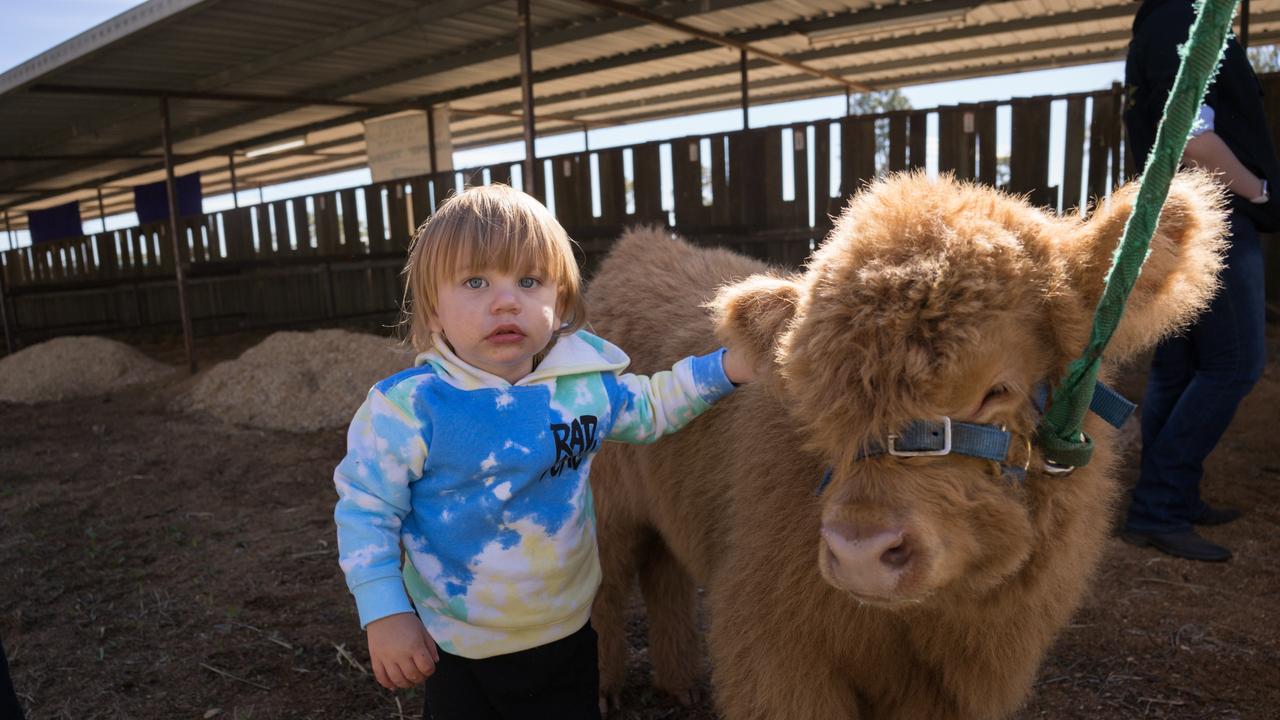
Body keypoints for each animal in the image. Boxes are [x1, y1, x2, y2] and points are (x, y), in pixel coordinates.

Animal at [586, 170, 1228, 712]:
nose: (861, 552)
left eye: (996, 390)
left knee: (663, 575)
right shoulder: (774, 649)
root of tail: (637, 247)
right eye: (816, 396)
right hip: (605, 512)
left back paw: (680, 684)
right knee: (603, 592)